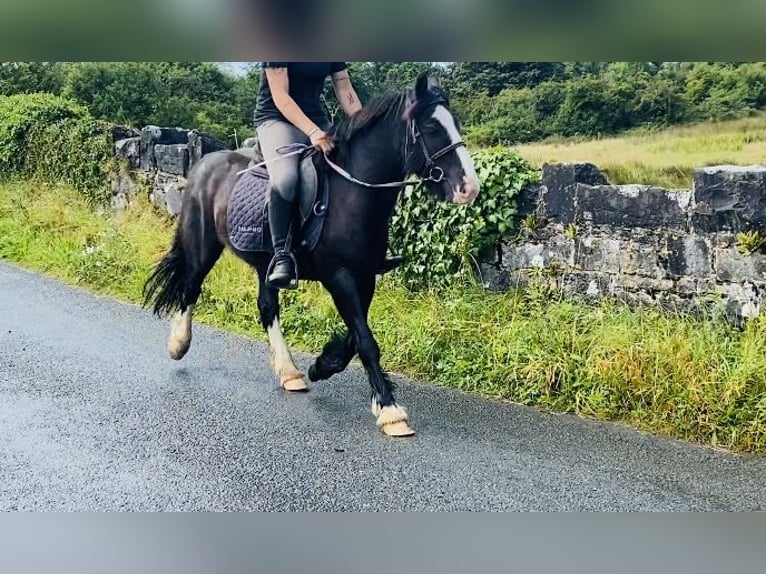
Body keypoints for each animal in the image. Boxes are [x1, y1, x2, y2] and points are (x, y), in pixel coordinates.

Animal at [143, 74, 480, 438]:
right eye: (431, 127)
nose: (469, 188)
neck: (353, 193)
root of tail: (205, 164)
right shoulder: (340, 276)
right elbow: (365, 340)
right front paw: (391, 411)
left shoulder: (365, 276)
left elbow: (355, 338)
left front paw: (323, 365)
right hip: (203, 245)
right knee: (191, 286)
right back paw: (178, 344)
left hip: (266, 265)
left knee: (266, 306)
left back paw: (289, 372)